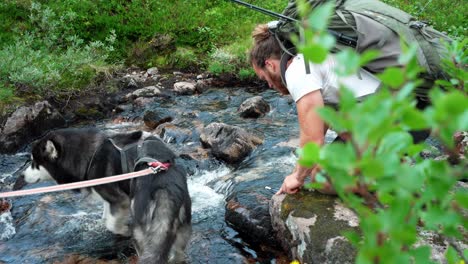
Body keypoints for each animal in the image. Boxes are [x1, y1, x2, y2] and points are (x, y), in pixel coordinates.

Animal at [22, 127, 192, 262]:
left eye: (34, 163)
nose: (22, 176)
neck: (90, 156)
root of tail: (165, 189)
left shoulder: (119, 200)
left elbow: (111, 223)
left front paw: (124, 230)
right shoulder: (111, 199)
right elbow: (106, 217)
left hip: (144, 237)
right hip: (181, 234)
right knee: (177, 254)